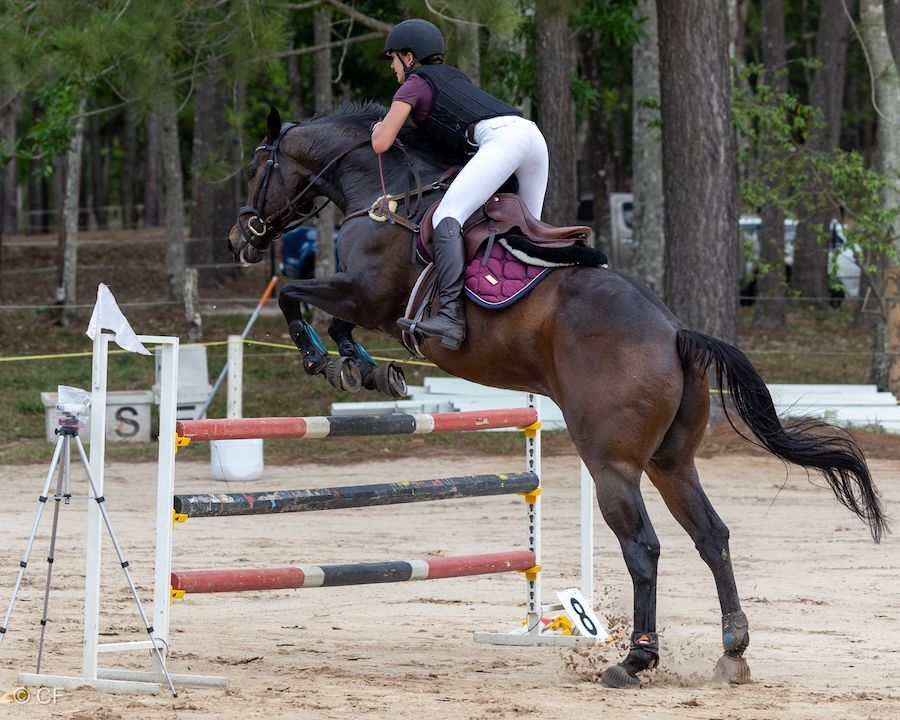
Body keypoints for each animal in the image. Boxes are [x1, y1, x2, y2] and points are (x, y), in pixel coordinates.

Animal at [228, 103, 887, 688]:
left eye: (258, 163)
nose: (242, 235)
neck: (386, 195)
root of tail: (675, 331)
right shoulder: (370, 306)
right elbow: (333, 321)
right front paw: (362, 370)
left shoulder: (366, 295)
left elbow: (293, 294)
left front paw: (321, 358)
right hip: (673, 462)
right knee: (712, 536)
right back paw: (732, 649)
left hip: (611, 462)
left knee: (643, 547)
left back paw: (634, 661)